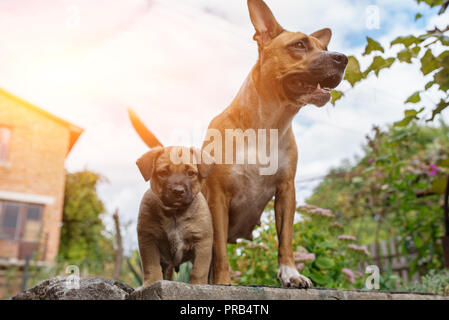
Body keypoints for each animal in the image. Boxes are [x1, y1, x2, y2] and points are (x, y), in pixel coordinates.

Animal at [136, 146, 214, 286]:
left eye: (191, 173)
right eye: (163, 173)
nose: (178, 191)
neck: (175, 213)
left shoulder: (202, 242)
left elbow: (199, 270)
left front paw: (198, 284)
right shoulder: (148, 239)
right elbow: (151, 266)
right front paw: (152, 282)